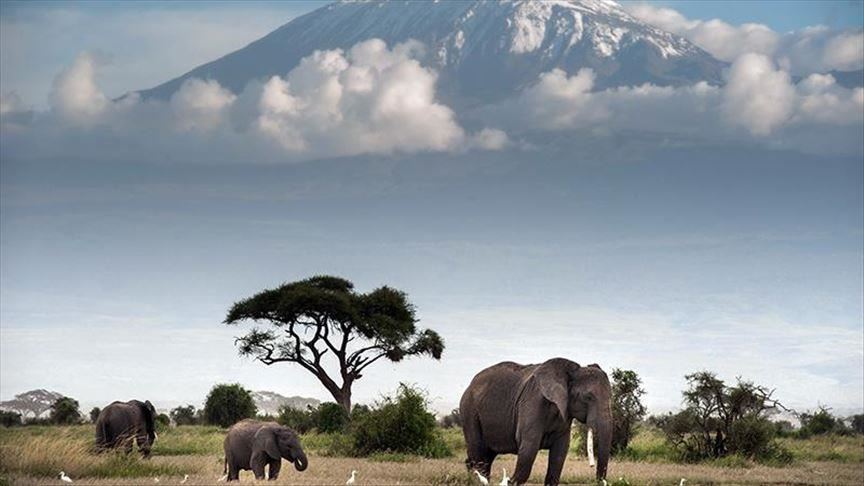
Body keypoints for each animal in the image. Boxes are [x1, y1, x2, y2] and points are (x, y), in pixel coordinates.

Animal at [460, 358, 612, 485]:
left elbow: (559, 455)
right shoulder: (532, 402)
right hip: (469, 411)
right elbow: (529, 448)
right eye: (588, 397)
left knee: (485, 457)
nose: (593, 469)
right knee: (478, 453)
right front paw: (509, 481)